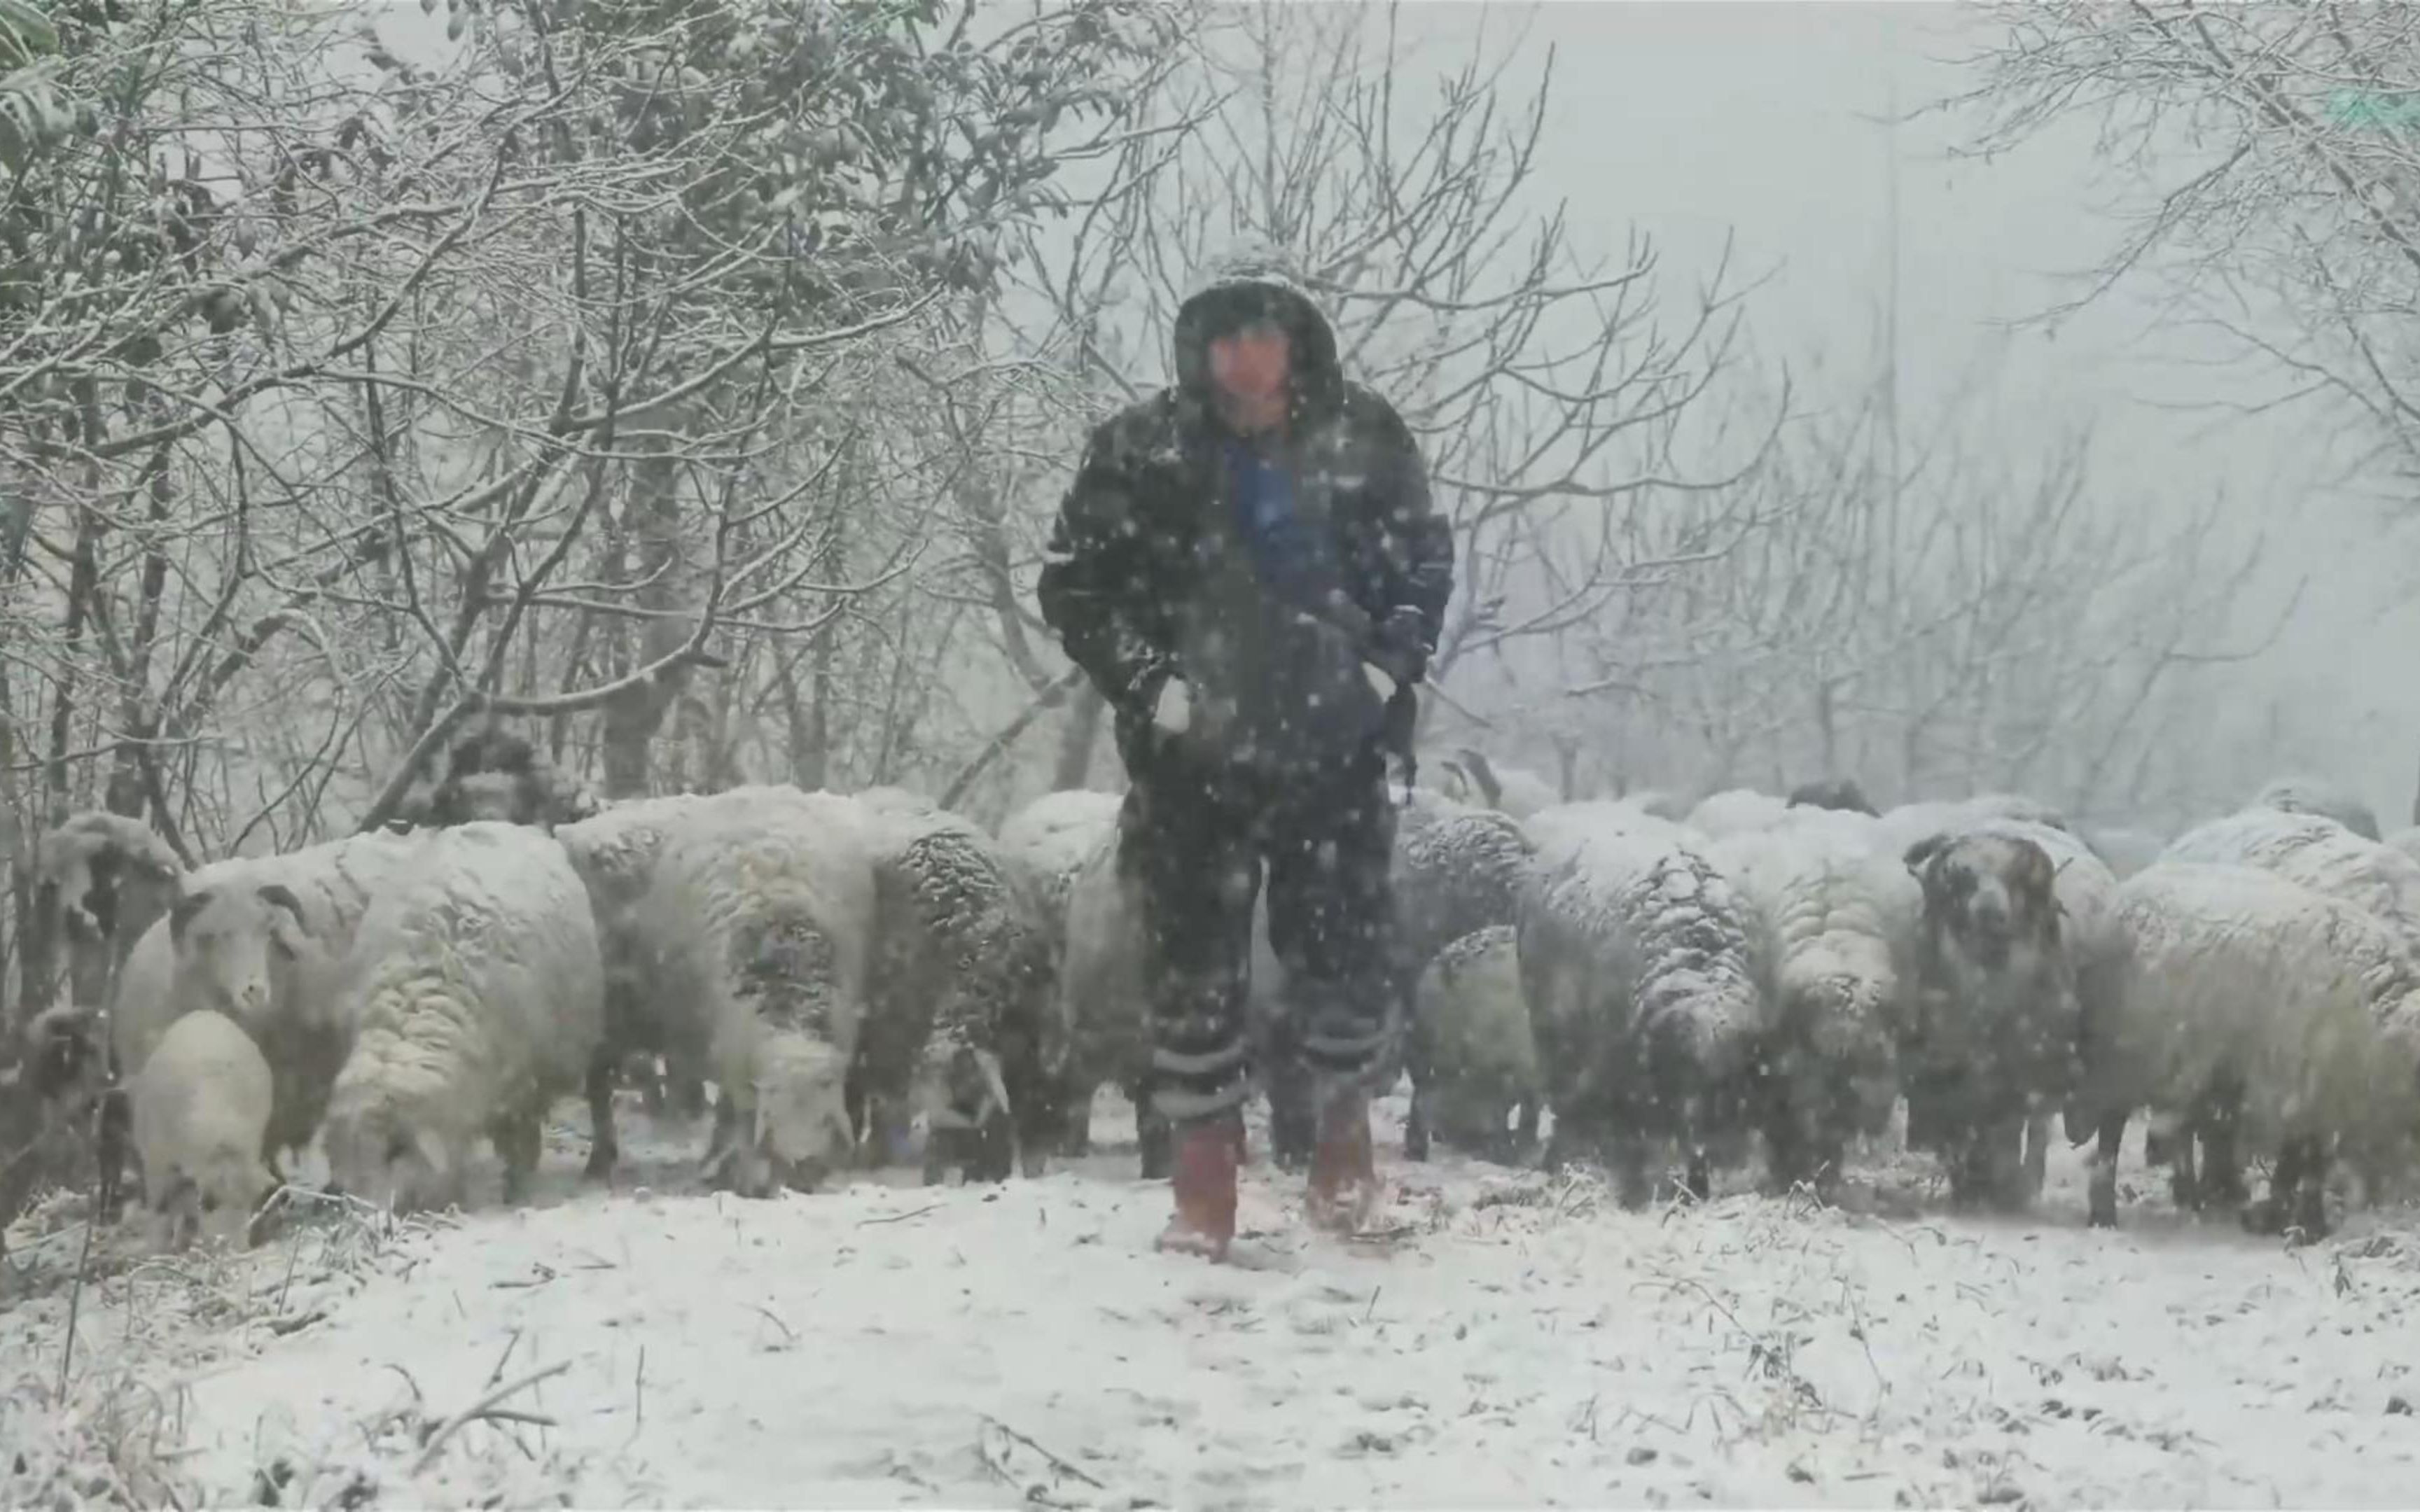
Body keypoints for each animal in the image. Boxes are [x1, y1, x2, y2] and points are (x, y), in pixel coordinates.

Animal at [129, 1001, 277, 1248]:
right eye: (209, 1203)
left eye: (253, 1202)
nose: (235, 1249)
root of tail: (203, 1013)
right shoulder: (156, 1160)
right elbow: (159, 1210)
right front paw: (157, 1249)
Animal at [317, 818, 605, 1210]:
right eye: (344, 1156)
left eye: (395, 1150)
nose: (366, 1215)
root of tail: (496, 822)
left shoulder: (524, 1084)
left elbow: (520, 1144)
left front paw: (517, 1192)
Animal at [1510, 803, 1761, 1205]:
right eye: (1689, 1072)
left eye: (1741, 1081)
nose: (1730, 1161)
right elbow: (1629, 1139)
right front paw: (1634, 1195)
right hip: (1549, 1026)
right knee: (1557, 1095)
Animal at [2071, 861, 2420, 1238]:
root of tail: (2127, 890)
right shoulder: (2297, 1088)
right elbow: (2302, 1161)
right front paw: (2294, 1221)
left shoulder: (2324, 1099)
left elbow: (2307, 1162)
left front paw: (2293, 1219)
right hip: (2123, 1058)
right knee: (2111, 1136)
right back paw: (2105, 1214)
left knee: (2183, 1132)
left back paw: (2195, 1199)